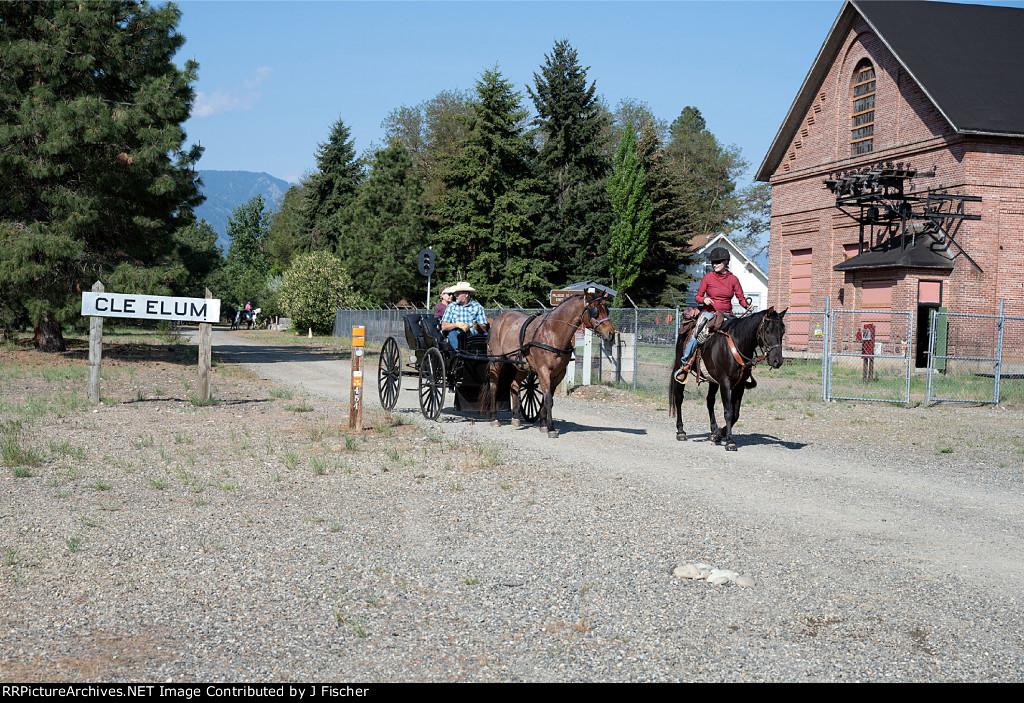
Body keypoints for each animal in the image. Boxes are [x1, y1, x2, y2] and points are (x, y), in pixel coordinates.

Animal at [479, 292, 614, 437]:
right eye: (595, 311)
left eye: (607, 310)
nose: (611, 333)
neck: (553, 332)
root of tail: (499, 319)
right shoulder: (543, 370)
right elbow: (548, 399)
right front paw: (550, 428)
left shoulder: (558, 373)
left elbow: (547, 398)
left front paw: (543, 424)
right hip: (496, 361)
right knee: (494, 386)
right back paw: (494, 418)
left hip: (522, 366)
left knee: (514, 385)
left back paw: (515, 417)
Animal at [667, 306, 786, 450]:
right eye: (768, 331)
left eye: (783, 332)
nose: (777, 361)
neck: (737, 344)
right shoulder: (725, 382)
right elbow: (728, 412)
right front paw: (730, 441)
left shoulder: (740, 384)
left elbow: (735, 413)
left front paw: (718, 434)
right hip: (681, 370)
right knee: (679, 398)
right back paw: (681, 431)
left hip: (713, 380)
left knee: (710, 401)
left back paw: (713, 430)